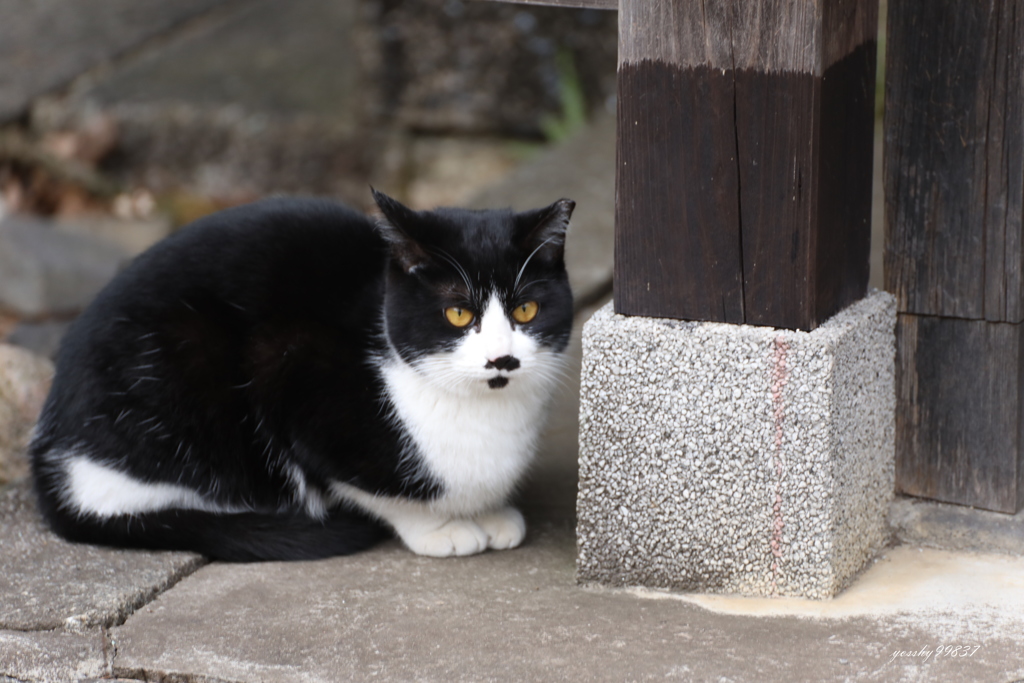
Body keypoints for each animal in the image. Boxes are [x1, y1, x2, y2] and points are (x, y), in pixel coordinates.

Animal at [29, 191, 577, 561]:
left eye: (526, 310)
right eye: (458, 314)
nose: (501, 359)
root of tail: (48, 453)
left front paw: (487, 513)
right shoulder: (292, 368)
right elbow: (371, 488)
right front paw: (441, 527)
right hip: (182, 368)